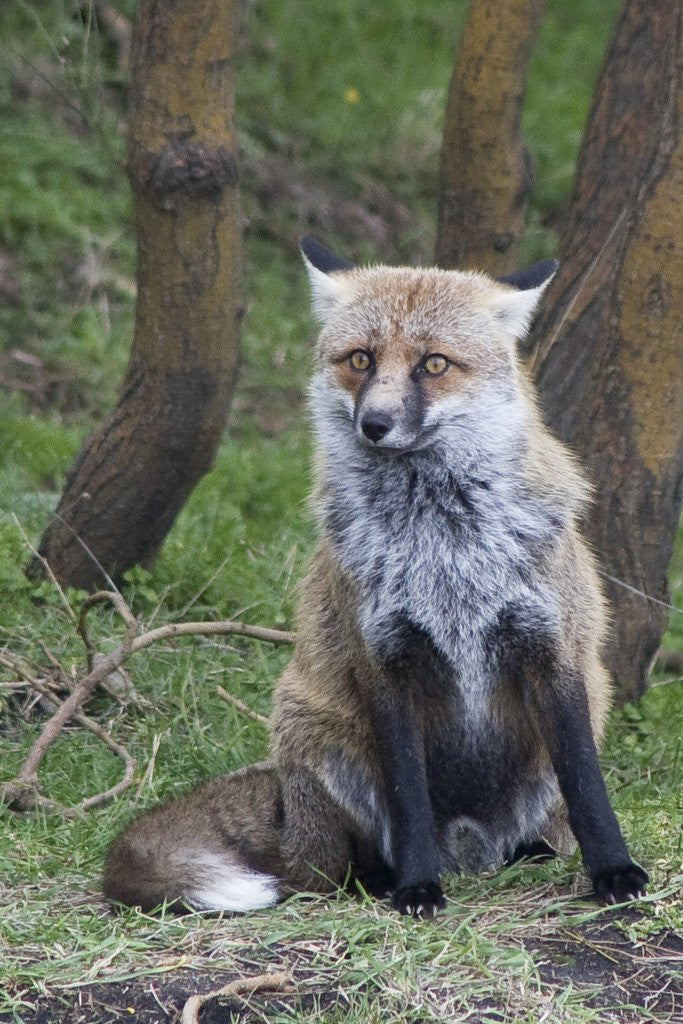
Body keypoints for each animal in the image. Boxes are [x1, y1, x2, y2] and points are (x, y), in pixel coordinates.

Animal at [103, 236, 648, 918]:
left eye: (434, 364)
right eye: (360, 360)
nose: (376, 424)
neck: (444, 549)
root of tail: (471, 850)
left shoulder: (556, 650)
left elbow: (588, 788)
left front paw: (615, 873)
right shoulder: (383, 660)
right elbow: (408, 798)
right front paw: (417, 888)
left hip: (569, 730)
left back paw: (531, 853)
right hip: (313, 735)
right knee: (326, 871)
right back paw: (377, 878)